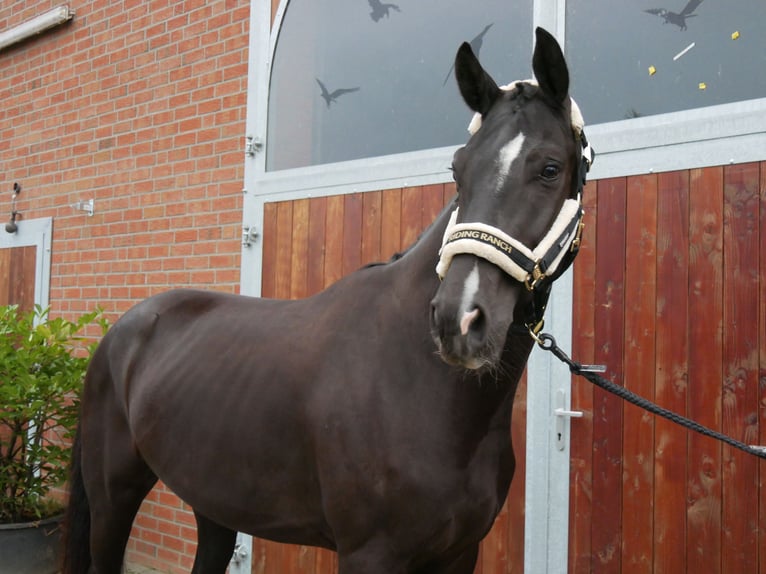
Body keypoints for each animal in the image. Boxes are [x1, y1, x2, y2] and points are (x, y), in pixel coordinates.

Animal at [64, 28, 592, 574]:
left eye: (550, 168)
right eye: (457, 169)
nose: (458, 319)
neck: (421, 387)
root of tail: (120, 332)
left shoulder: (461, 552)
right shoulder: (369, 553)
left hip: (212, 504)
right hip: (113, 499)